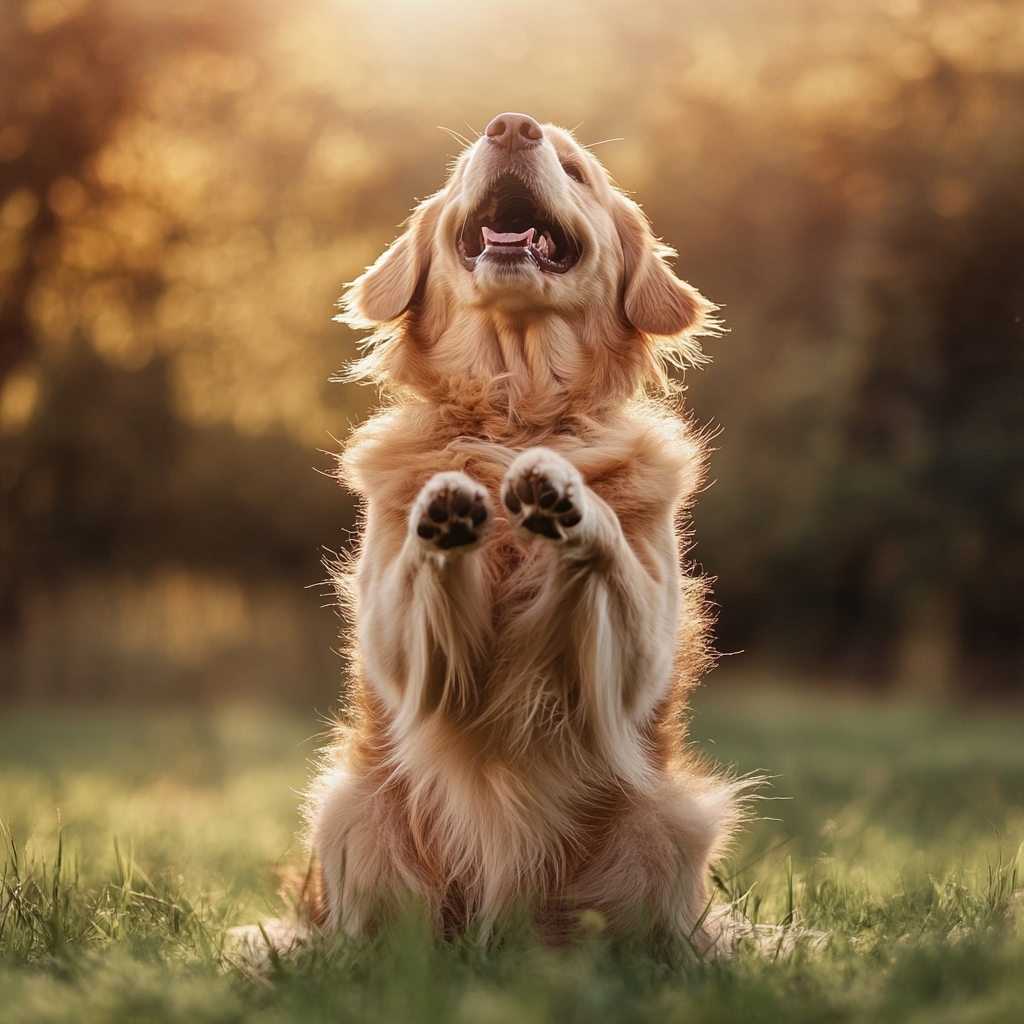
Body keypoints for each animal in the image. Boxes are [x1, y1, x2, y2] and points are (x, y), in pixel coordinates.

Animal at [303, 114, 745, 950]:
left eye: (575, 170)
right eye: (461, 166)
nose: (511, 127)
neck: (515, 409)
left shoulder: (634, 657)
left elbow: (608, 554)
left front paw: (564, 492)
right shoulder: (403, 655)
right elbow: (416, 586)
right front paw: (446, 504)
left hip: (666, 821)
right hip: (352, 811)